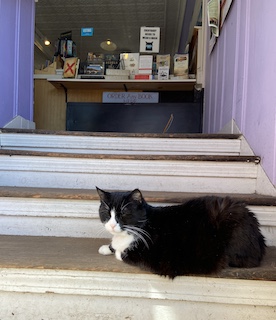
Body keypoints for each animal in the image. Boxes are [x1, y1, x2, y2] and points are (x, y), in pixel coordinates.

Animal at [96, 188, 266, 278]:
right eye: (106, 213)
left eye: (124, 213)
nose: (112, 225)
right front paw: (106, 247)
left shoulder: (144, 253)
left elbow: (121, 252)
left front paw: (115, 249)